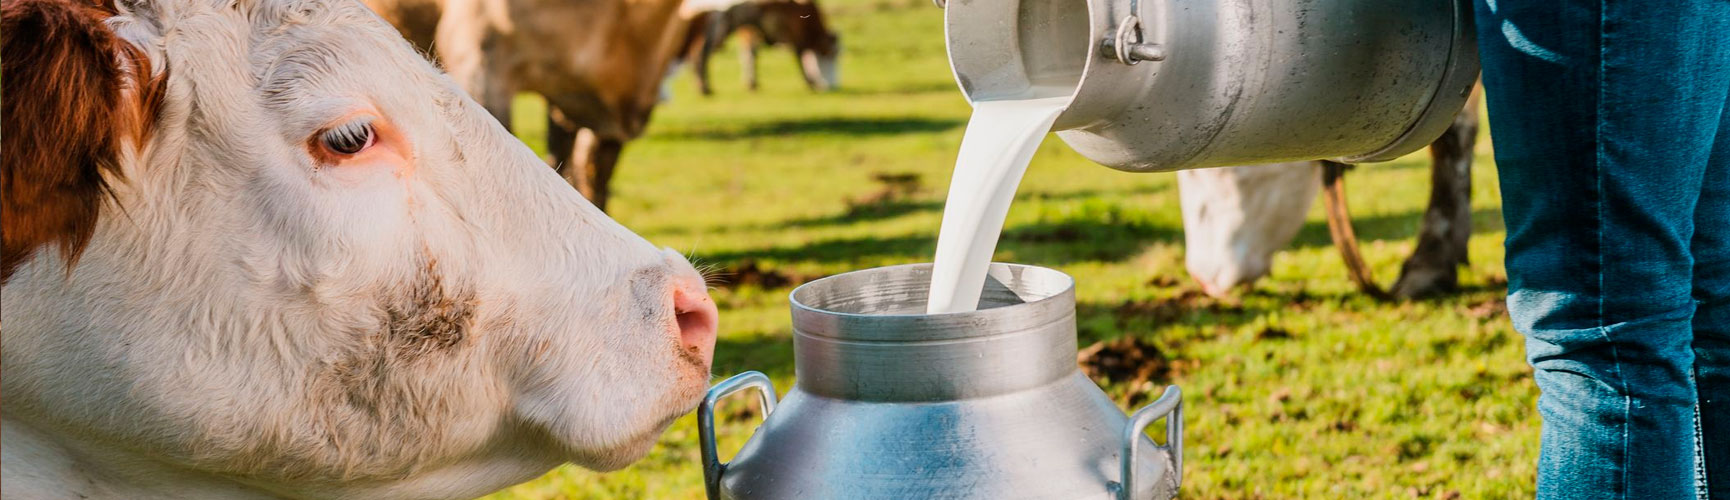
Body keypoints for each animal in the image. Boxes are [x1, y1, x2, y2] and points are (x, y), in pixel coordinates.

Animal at [671, 0, 840, 96]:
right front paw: (810, 83)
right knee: (701, 53)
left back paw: (703, 86)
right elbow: (799, 57)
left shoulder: (752, 30)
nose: (832, 86)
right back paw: (704, 88)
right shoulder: (794, 33)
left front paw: (752, 84)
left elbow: (750, 55)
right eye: (832, 54)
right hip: (720, 23)